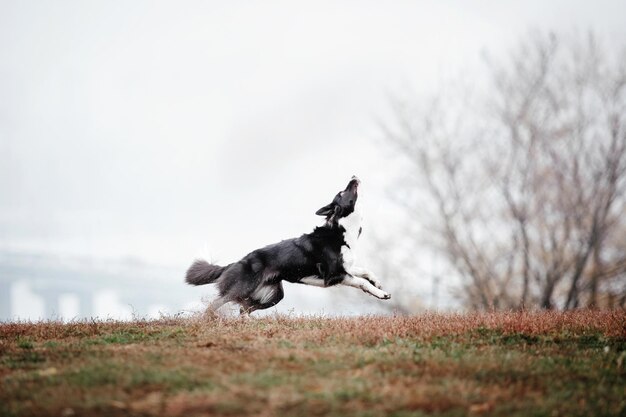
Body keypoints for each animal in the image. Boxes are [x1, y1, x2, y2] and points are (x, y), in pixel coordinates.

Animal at [184, 174, 390, 314]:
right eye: (342, 192)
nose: (353, 175)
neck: (341, 230)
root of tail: (236, 262)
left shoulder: (346, 268)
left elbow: (366, 271)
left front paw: (378, 283)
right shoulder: (334, 275)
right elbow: (362, 281)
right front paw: (381, 294)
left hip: (273, 295)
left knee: (245, 308)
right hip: (243, 288)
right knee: (216, 304)